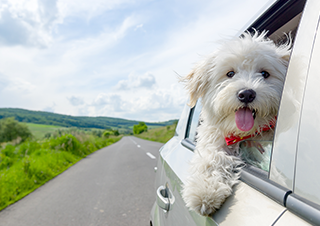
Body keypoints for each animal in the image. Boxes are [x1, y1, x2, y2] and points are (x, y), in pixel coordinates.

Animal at [181, 30, 292, 216]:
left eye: (264, 74)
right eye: (230, 74)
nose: (246, 94)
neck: (245, 134)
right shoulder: (214, 138)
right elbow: (212, 158)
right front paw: (204, 191)